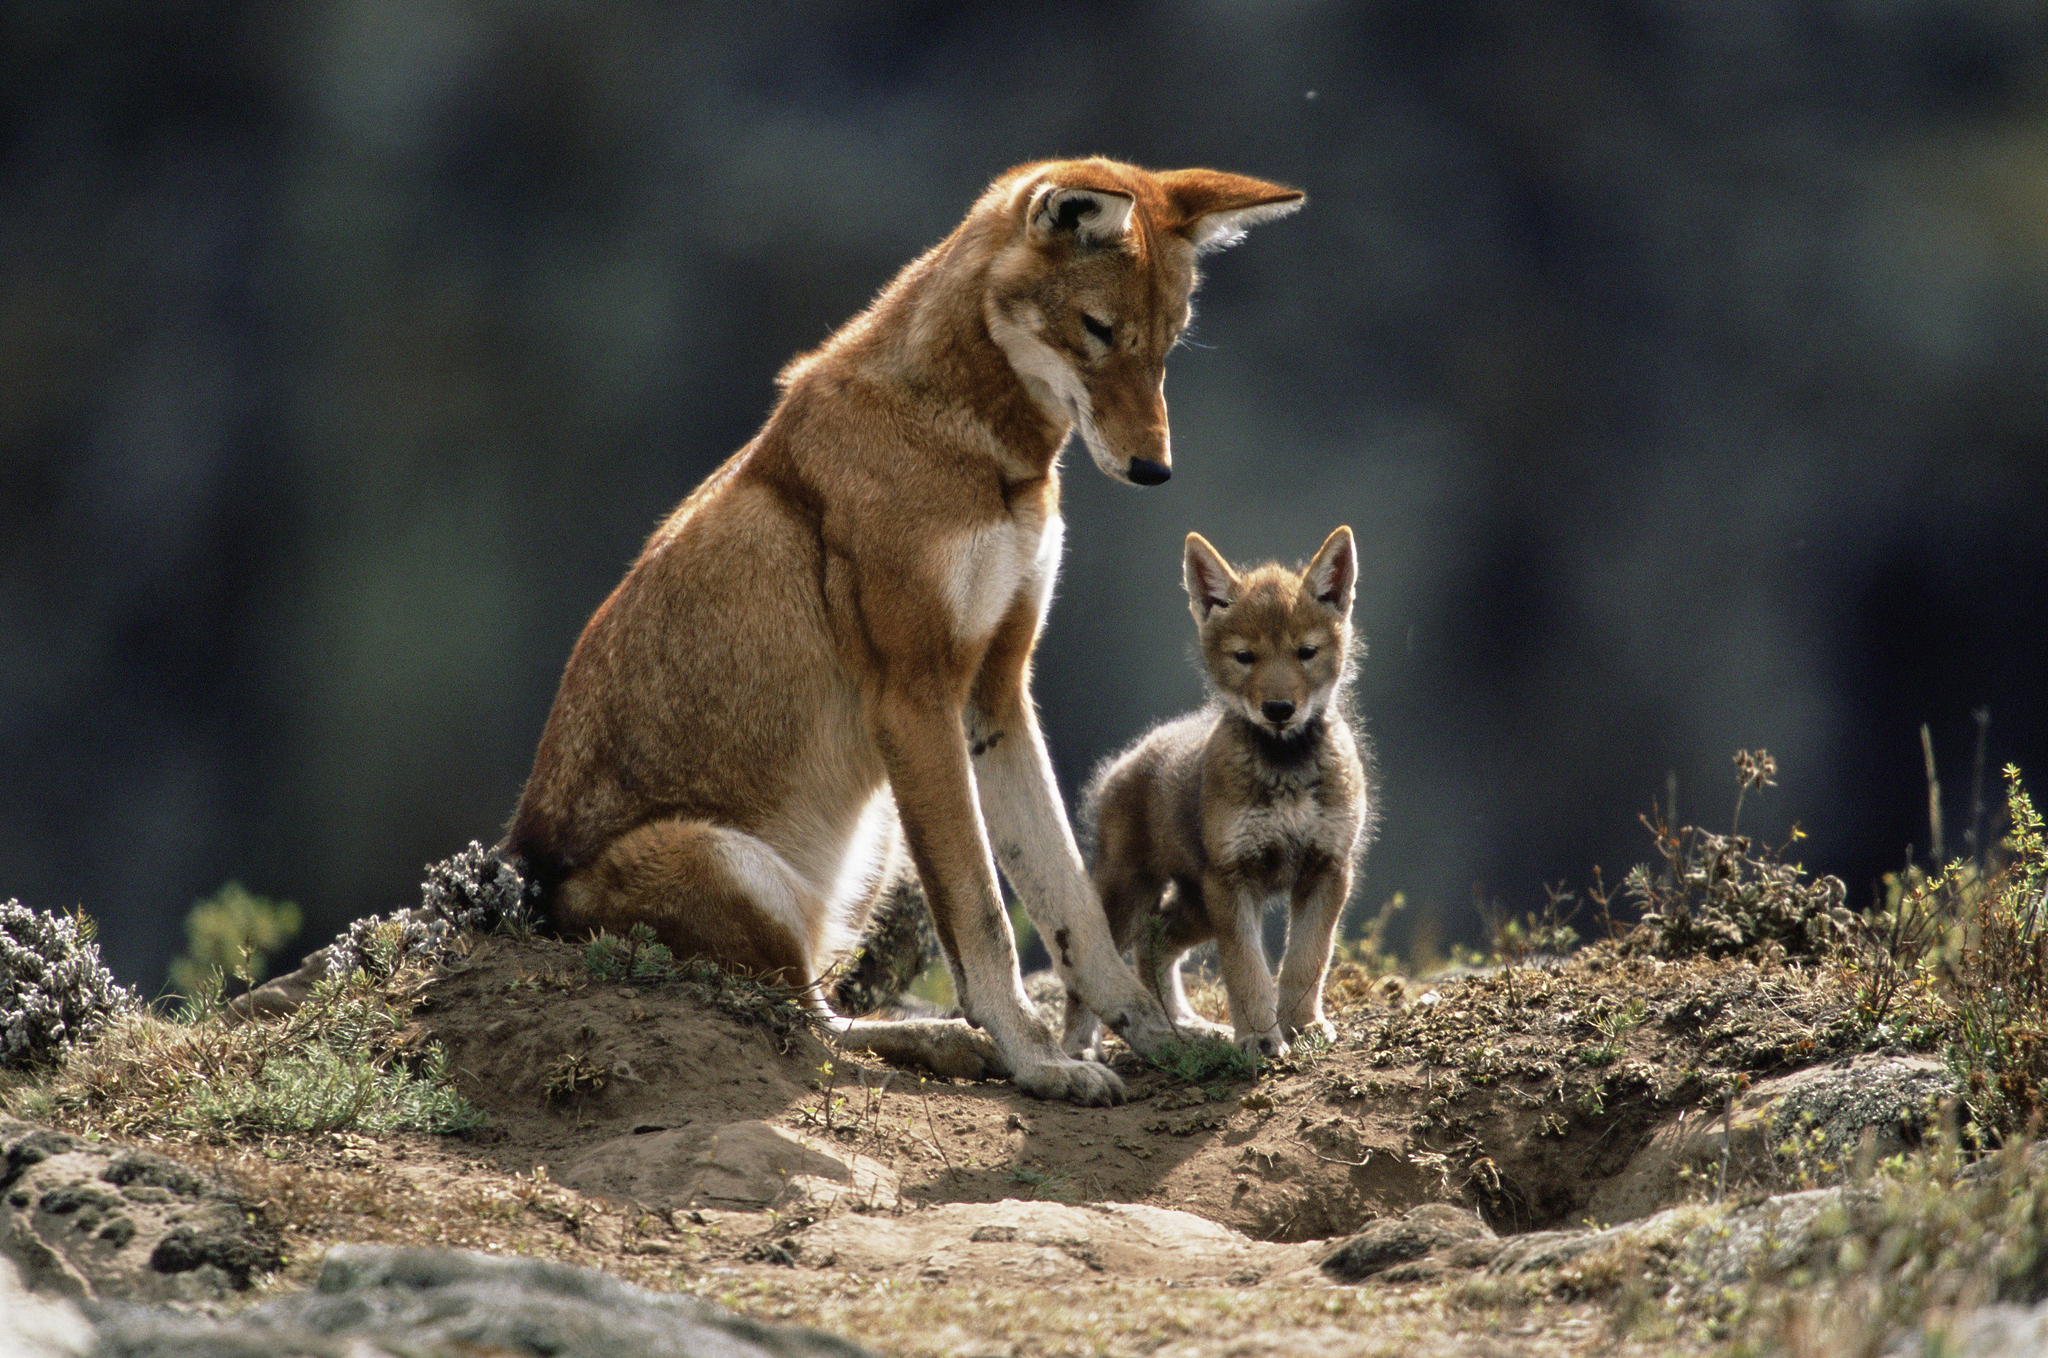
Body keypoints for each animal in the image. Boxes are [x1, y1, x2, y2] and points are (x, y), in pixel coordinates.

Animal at [505, 156, 1302, 1106]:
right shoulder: (915, 701)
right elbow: (983, 916)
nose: (1155, 469)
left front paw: (1153, 1039)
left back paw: (955, 1044)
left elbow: (1074, 912)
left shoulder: (997, 697)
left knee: (819, 1014)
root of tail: (523, 886)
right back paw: (958, 1043)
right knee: (805, 1027)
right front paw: (1036, 1060)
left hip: (870, 848)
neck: (987, 455)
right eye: (1098, 331)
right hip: (748, 868)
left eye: (1170, 341)